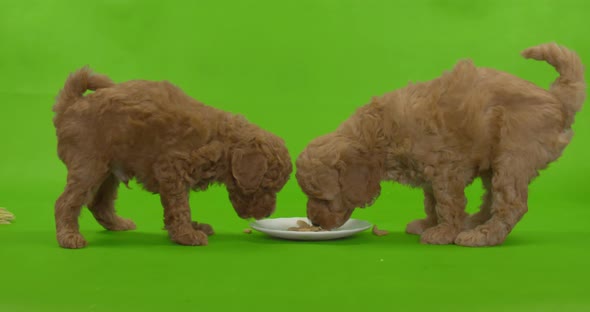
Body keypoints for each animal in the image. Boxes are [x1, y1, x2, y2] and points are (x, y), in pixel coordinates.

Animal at [53, 68, 294, 249]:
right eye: (266, 187)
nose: (268, 213)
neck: (218, 138)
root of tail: (71, 105)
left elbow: (177, 206)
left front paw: (192, 228)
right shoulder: (172, 169)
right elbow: (180, 206)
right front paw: (188, 234)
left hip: (109, 170)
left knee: (99, 203)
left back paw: (118, 224)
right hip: (89, 165)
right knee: (66, 202)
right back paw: (69, 237)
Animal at [298, 42, 584, 246]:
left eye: (323, 198)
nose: (313, 221)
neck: (379, 131)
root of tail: (557, 101)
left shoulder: (446, 169)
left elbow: (447, 203)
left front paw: (443, 232)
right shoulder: (429, 174)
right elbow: (431, 201)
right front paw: (429, 224)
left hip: (513, 156)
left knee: (511, 204)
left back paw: (482, 235)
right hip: (495, 161)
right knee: (492, 197)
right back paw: (472, 224)